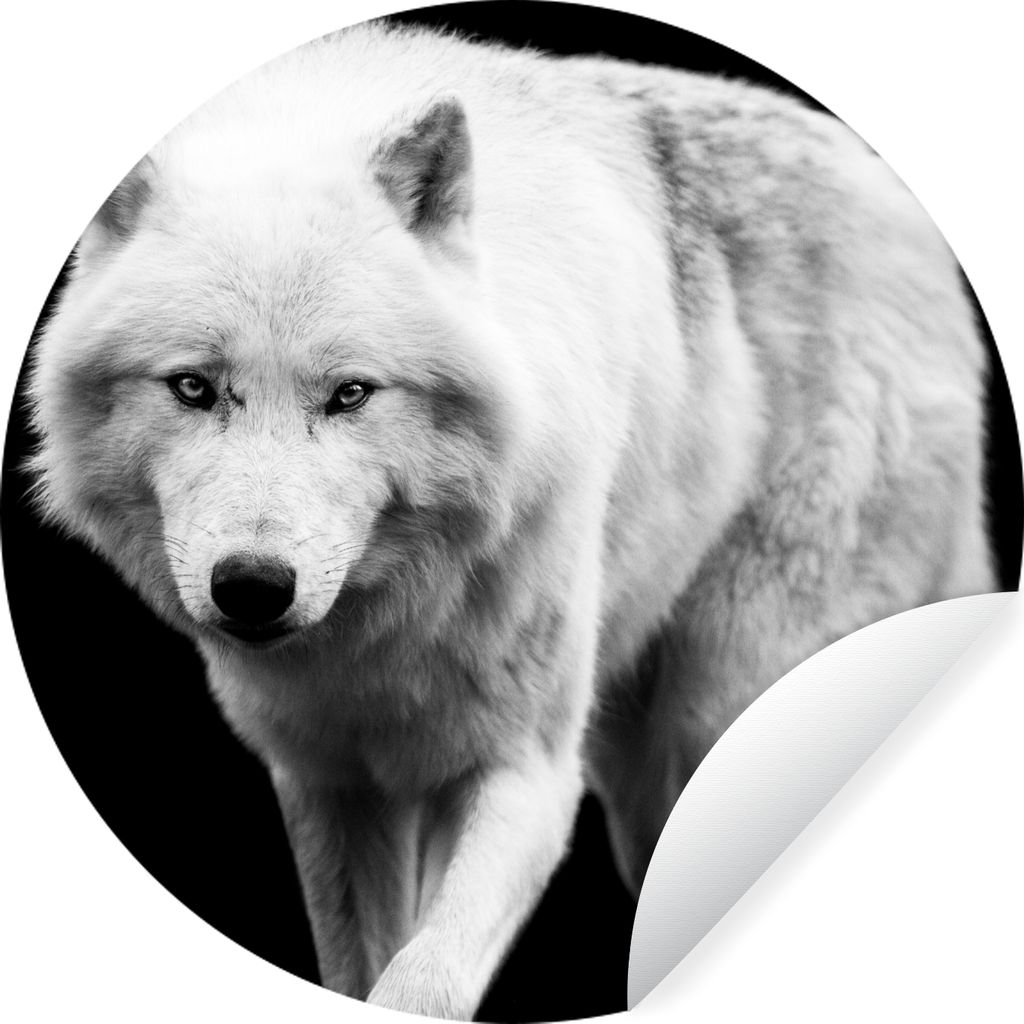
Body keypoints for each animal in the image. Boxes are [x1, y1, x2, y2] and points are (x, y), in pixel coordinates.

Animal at [27, 19, 994, 1020]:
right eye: (192, 387)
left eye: (350, 394)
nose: (253, 588)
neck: (386, 634)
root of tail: (902, 208)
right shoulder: (333, 783)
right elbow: (362, 965)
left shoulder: (525, 772)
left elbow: (424, 981)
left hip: (719, 705)